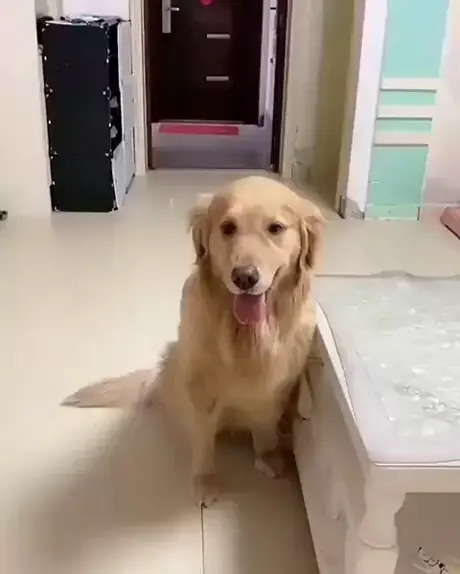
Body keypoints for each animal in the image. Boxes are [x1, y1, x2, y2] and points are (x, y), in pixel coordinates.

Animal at [63, 176, 324, 506]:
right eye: (228, 227)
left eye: (275, 228)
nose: (244, 277)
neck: (246, 337)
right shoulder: (200, 389)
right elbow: (203, 439)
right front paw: (204, 480)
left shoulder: (275, 388)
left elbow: (264, 424)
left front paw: (267, 456)